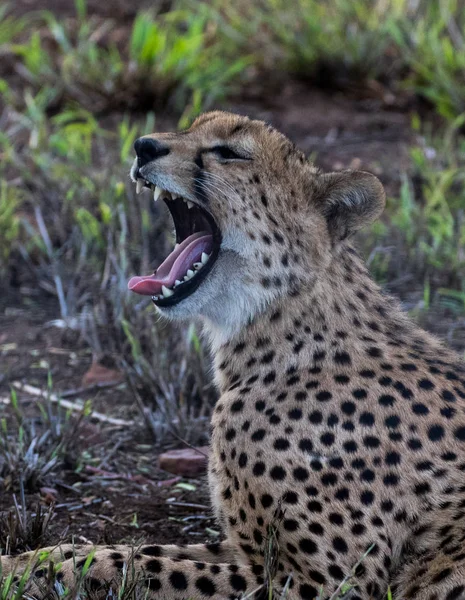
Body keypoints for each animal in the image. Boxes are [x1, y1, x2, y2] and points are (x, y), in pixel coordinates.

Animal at [2, 112, 464, 600]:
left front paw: (31, 572)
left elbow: (141, 563)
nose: (143, 146)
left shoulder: (328, 583)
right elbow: (133, 550)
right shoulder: (249, 552)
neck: (281, 328)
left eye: (229, 152)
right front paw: (25, 562)